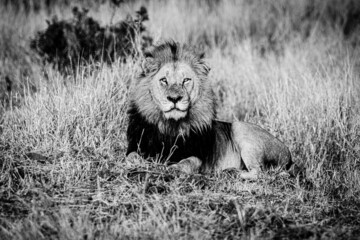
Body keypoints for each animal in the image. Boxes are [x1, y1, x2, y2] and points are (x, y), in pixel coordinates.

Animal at [125, 41, 292, 179]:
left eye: (186, 80)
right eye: (164, 80)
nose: (174, 98)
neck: (171, 125)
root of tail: (288, 154)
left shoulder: (198, 156)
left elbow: (187, 162)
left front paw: (172, 168)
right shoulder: (135, 145)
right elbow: (130, 157)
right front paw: (141, 164)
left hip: (240, 128)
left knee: (259, 172)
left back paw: (231, 173)